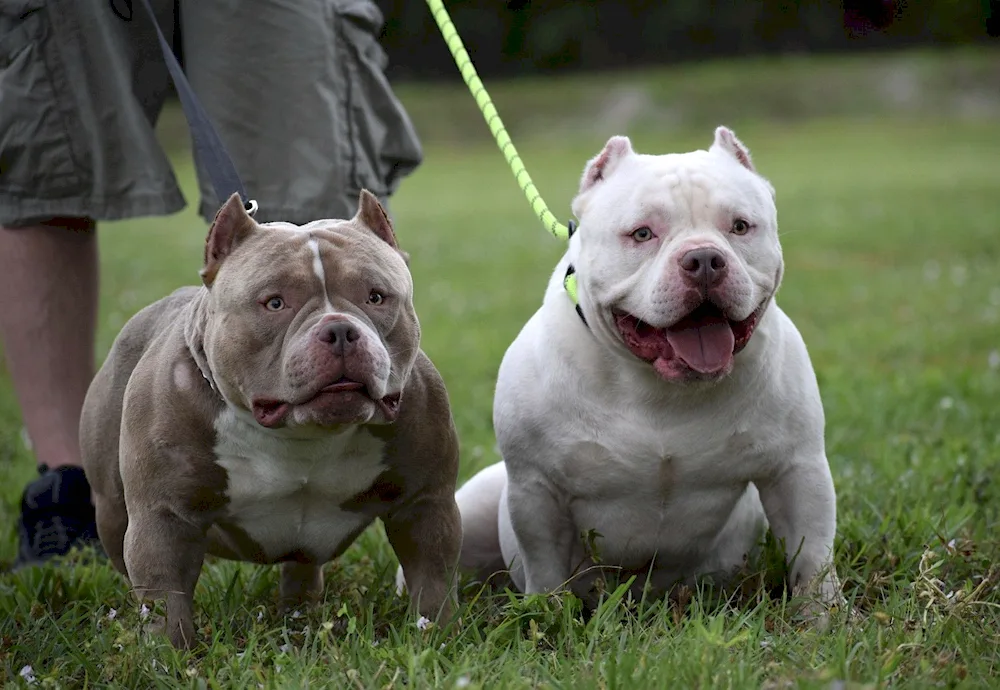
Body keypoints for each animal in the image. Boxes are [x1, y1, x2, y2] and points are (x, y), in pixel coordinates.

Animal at [446, 126, 844, 612]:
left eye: (739, 226)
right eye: (642, 233)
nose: (705, 259)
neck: (660, 388)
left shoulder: (796, 470)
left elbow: (813, 558)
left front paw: (822, 618)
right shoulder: (537, 491)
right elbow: (546, 569)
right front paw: (549, 617)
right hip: (477, 504)